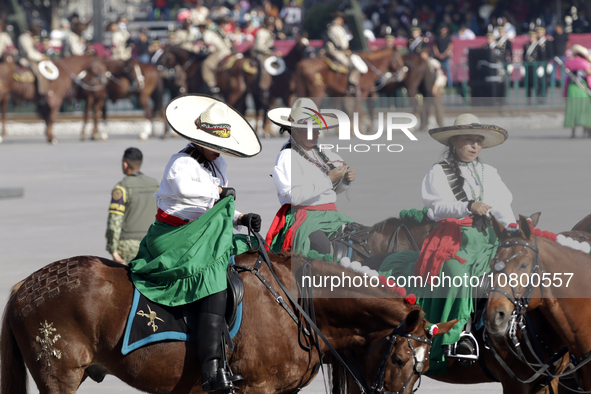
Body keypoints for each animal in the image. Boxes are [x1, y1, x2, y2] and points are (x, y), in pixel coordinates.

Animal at [0, 252, 458, 394]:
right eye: (399, 360)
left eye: (423, 370)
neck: (295, 303)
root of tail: (24, 284)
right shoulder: (257, 389)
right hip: (59, 378)